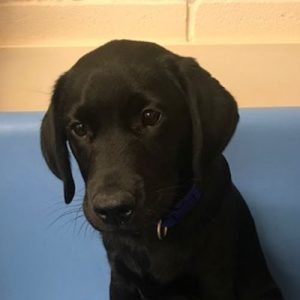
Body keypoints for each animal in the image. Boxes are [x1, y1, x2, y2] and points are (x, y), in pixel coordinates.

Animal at [40, 39, 284, 300]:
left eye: (150, 116)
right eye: (79, 128)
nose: (113, 209)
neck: (154, 232)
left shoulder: (215, 278)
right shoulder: (120, 278)